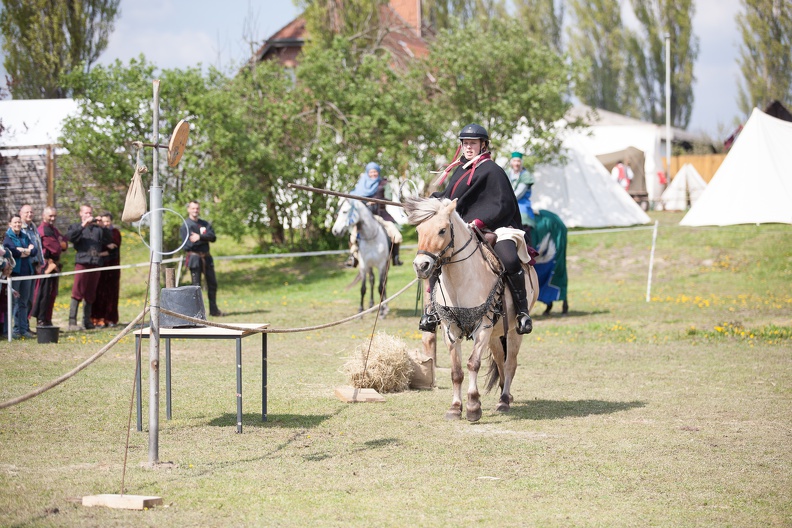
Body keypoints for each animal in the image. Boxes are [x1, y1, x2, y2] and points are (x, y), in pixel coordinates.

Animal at [408, 196, 540, 422]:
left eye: (442, 230)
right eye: (419, 230)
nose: (421, 266)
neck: (461, 280)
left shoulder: (483, 327)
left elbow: (473, 364)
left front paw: (472, 406)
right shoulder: (450, 329)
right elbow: (456, 371)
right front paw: (455, 407)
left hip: (513, 331)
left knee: (510, 363)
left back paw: (504, 401)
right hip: (496, 334)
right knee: (500, 360)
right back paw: (505, 395)